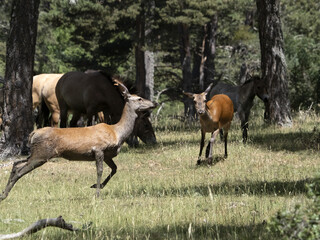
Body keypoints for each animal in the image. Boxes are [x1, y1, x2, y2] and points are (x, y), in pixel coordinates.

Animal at [0, 79, 157, 202]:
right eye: (139, 99)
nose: (154, 103)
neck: (117, 133)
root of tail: (33, 133)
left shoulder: (108, 155)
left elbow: (115, 169)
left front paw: (96, 186)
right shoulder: (99, 149)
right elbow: (100, 171)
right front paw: (97, 193)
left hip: (35, 153)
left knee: (16, 164)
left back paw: (3, 193)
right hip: (42, 154)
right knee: (20, 170)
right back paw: (5, 195)